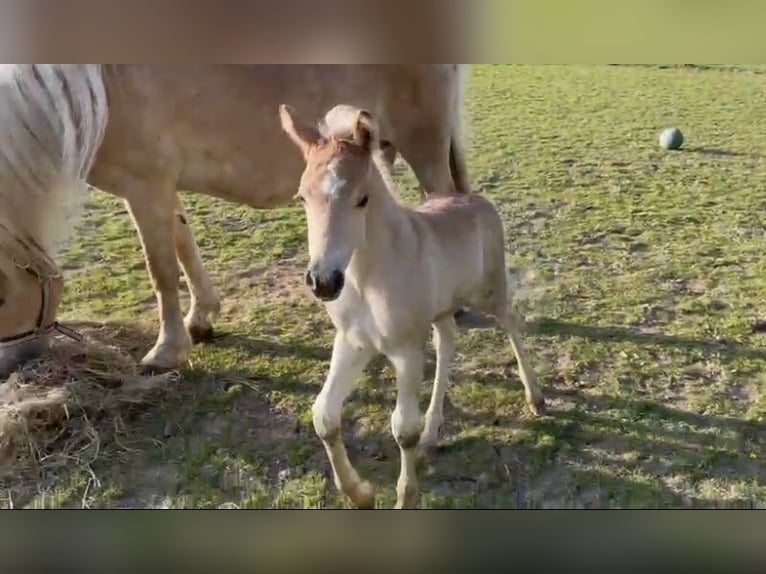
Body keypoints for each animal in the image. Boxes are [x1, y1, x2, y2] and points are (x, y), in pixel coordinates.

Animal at [0, 64, 472, 378]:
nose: (9, 368)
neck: (96, 88)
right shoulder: (163, 188)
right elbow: (184, 246)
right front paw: (201, 319)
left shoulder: (144, 187)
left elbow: (161, 271)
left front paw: (166, 351)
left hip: (423, 145)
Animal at [280, 104, 544, 512]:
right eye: (303, 198)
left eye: (362, 198)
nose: (323, 281)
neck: (367, 279)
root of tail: (474, 198)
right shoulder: (353, 342)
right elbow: (324, 415)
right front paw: (360, 493)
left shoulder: (405, 349)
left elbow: (403, 429)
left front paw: (405, 496)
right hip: (441, 309)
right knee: (448, 343)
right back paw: (433, 431)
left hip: (490, 291)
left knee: (511, 322)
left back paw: (536, 398)